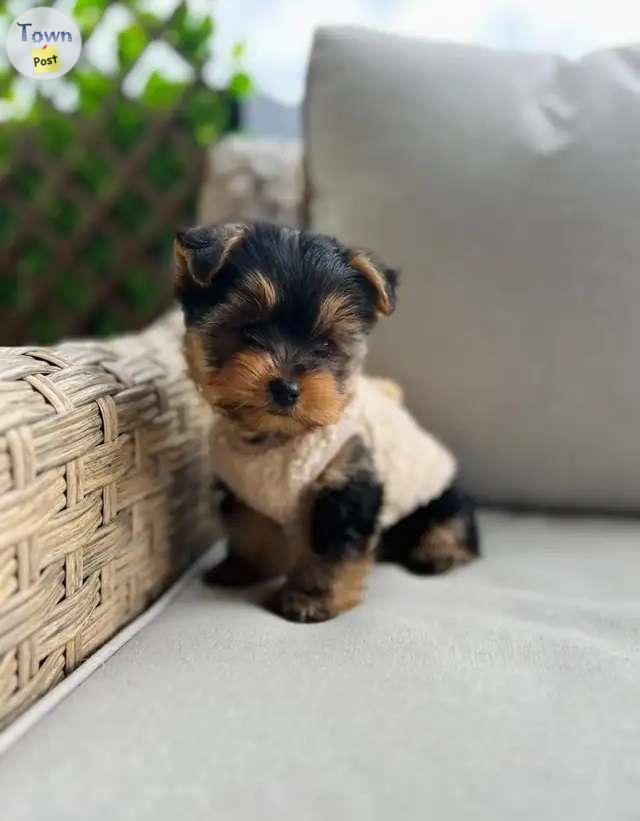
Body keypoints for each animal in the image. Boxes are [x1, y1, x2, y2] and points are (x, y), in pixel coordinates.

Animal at [175, 221, 480, 620]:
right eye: (250, 331)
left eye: (324, 345)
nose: (286, 388)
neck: (278, 438)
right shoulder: (244, 485)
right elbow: (249, 526)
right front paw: (243, 567)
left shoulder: (347, 476)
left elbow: (331, 547)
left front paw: (310, 598)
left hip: (438, 494)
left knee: (454, 521)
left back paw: (438, 551)